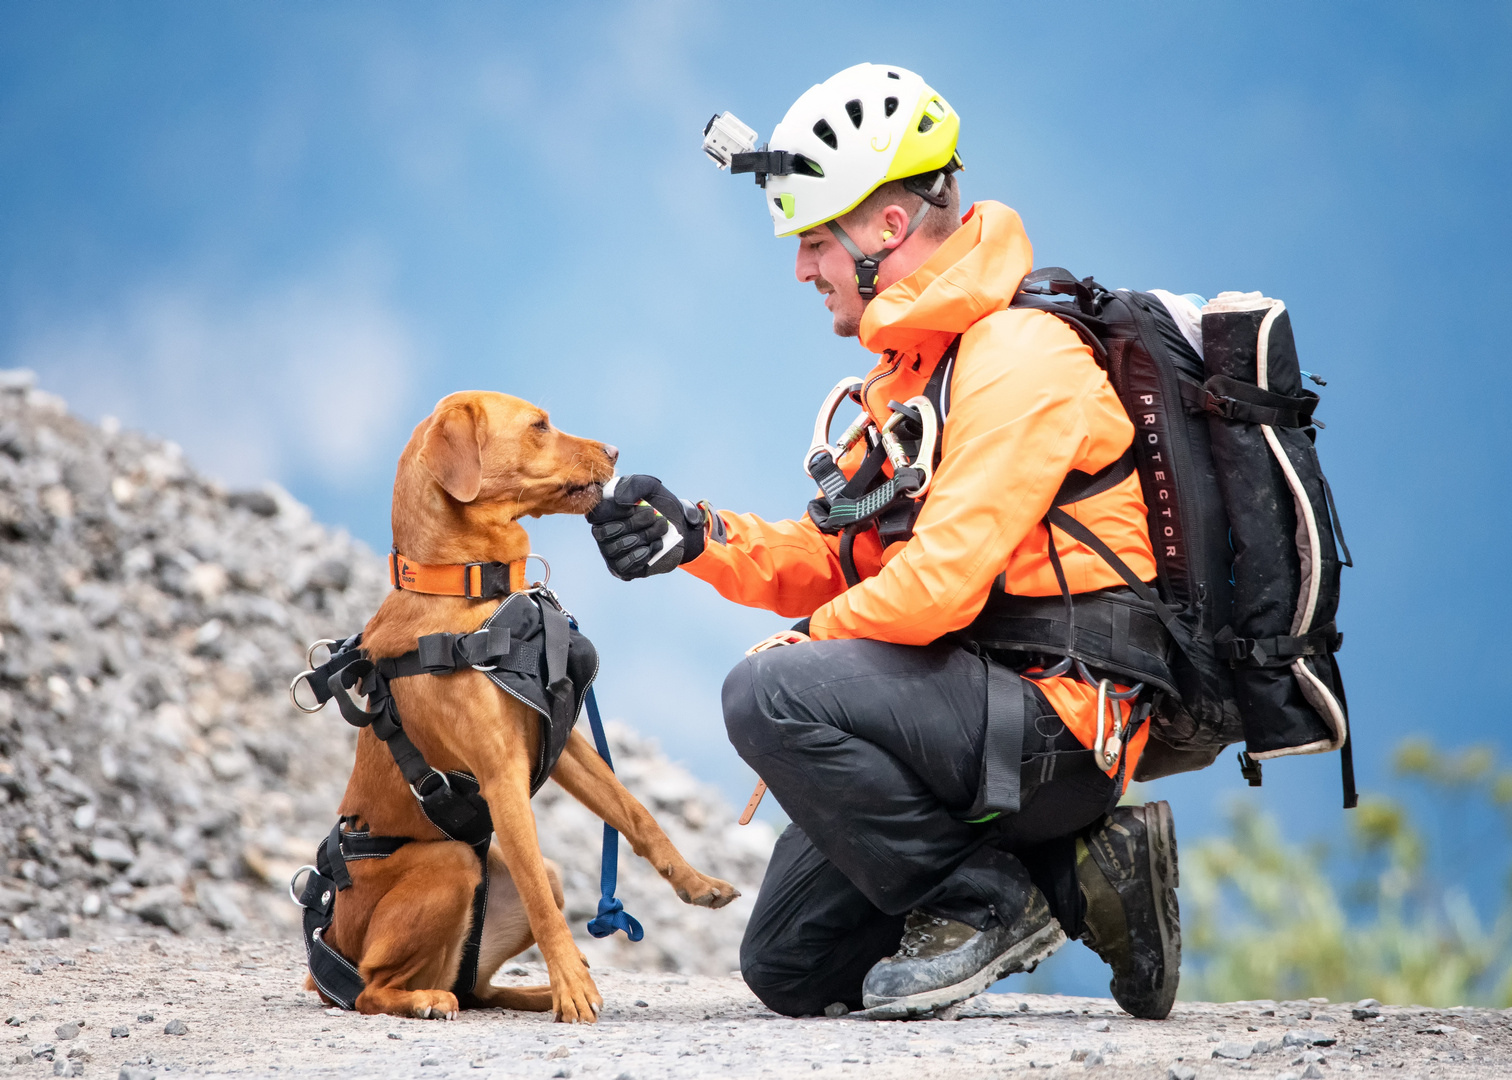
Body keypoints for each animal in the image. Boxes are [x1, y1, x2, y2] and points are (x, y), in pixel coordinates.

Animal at [303, 390, 734, 1016]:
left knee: (479, 986)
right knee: (374, 989)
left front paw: (697, 882)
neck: (469, 592)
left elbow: (635, 812)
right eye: (539, 425)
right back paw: (432, 999)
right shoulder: (501, 773)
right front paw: (575, 989)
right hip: (450, 865)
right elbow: (541, 902)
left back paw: (533, 991)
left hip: (511, 895)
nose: (614, 450)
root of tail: (323, 959)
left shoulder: (563, 742)